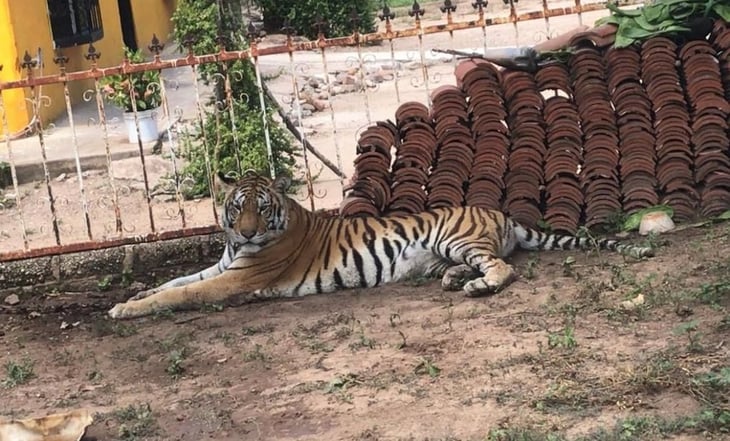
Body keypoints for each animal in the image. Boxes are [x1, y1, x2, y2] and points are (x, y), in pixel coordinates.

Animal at [105, 169, 652, 320]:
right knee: (482, 264)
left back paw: (477, 287)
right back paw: (456, 281)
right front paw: (132, 297)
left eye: (261, 207)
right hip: (446, 251)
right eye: (236, 206)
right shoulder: (221, 266)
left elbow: (182, 293)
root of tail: (501, 212)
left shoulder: (236, 278)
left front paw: (124, 311)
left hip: (456, 237)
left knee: (505, 269)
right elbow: (174, 281)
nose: (245, 231)